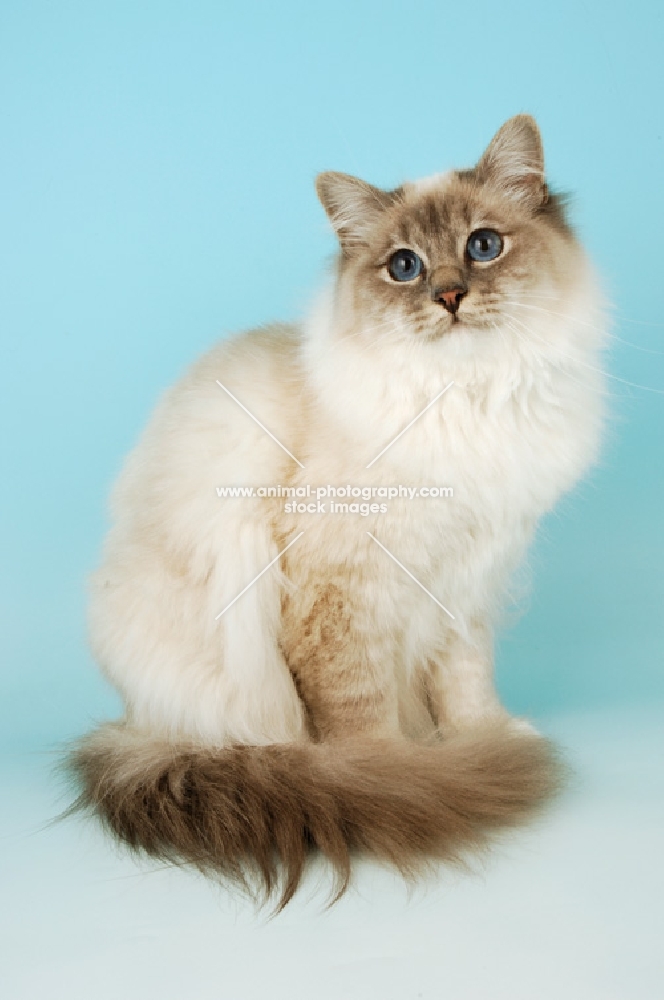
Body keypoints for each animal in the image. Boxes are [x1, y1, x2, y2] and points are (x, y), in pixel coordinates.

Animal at [67, 115, 608, 908]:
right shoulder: (345, 585)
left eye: (483, 246)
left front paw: (484, 740)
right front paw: (391, 775)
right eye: (404, 267)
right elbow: (357, 707)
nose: (449, 296)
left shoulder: (467, 576)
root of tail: (134, 727)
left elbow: (466, 681)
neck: (467, 395)